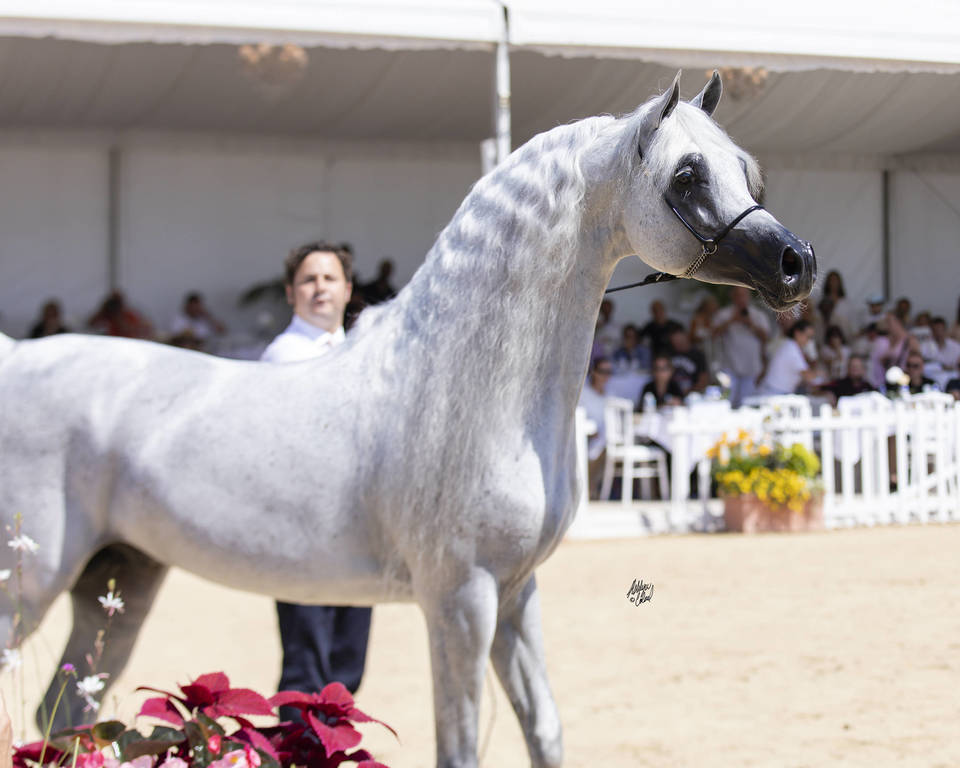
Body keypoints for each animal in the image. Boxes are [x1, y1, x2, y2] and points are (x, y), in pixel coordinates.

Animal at [0, 71, 814, 768]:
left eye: (747, 171)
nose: (797, 263)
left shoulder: (515, 595)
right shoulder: (459, 600)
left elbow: (545, 731)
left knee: (63, 719)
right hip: (29, 590)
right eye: (687, 176)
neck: (466, 392)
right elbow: (458, 746)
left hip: (120, 579)